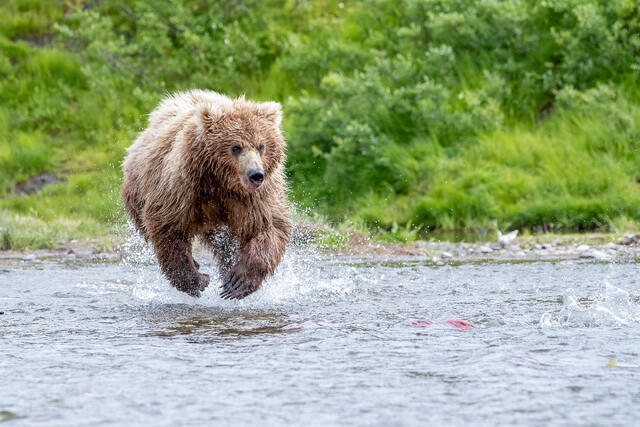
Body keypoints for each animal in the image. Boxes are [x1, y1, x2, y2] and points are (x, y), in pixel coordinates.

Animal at [121, 90, 291, 299]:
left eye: (261, 146)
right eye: (236, 147)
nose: (256, 175)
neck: (221, 184)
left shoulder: (255, 198)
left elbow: (269, 226)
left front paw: (237, 282)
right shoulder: (182, 189)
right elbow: (168, 226)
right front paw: (197, 280)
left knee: (226, 244)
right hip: (138, 190)